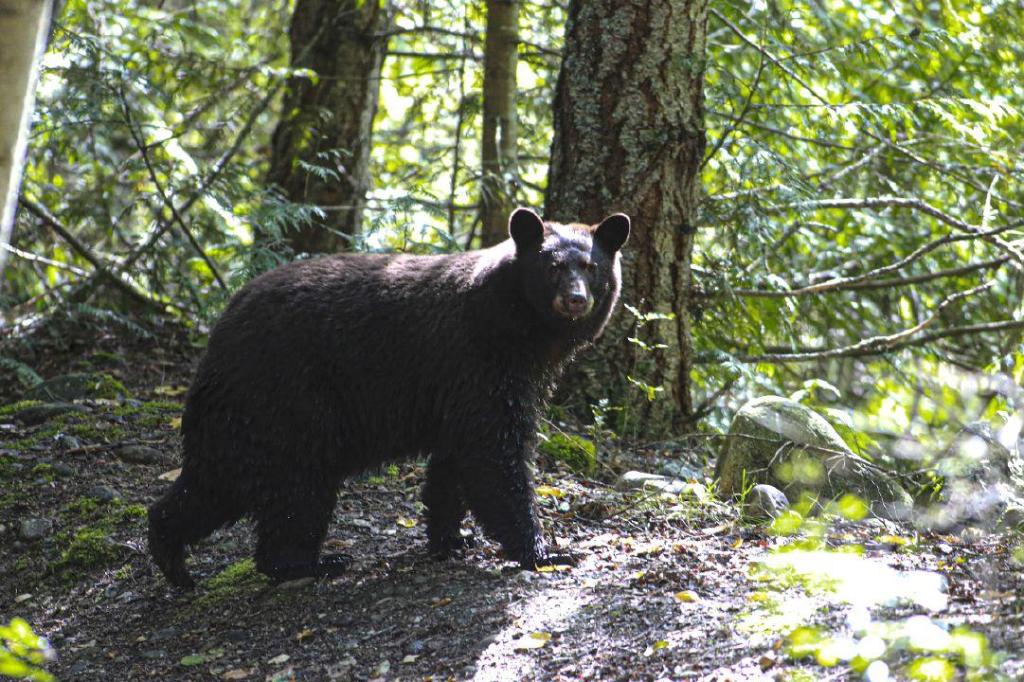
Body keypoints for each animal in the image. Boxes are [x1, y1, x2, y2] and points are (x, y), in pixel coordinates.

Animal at [148, 207, 629, 587]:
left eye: (591, 266)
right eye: (552, 266)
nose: (575, 299)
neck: (517, 327)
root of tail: (219, 336)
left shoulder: (464, 387)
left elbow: (453, 461)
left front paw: (451, 539)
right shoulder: (478, 361)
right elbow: (493, 453)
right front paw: (544, 550)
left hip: (241, 415)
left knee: (213, 482)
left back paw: (171, 556)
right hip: (290, 401)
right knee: (298, 489)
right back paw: (309, 563)